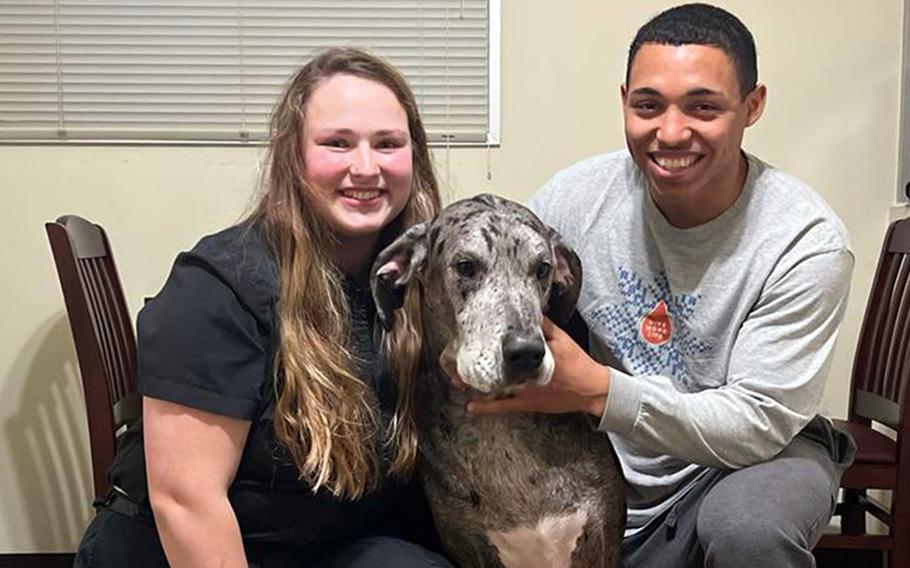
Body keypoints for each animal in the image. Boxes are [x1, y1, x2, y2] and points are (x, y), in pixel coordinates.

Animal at [372, 194, 628, 568]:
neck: (504, 427)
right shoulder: (470, 549)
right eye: (466, 266)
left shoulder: (602, 538)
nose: (526, 352)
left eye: (542, 268)